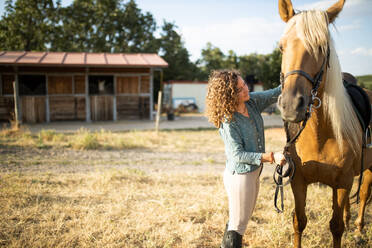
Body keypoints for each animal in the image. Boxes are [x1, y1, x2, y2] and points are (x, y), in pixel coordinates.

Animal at [276, 0, 372, 248]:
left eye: (321, 47)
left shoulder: (342, 182)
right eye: (281, 47)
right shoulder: (298, 181)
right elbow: (299, 221)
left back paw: (358, 229)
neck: (320, 135)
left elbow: (335, 227)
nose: (291, 105)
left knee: (364, 194)